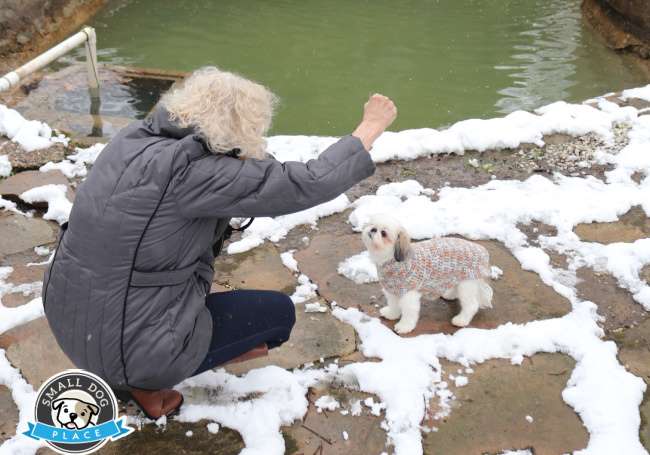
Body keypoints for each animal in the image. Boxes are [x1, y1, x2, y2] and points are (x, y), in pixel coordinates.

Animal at [360, 214, 492, 334]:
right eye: (372, 224)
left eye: (383, 233)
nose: (372, 230)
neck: (391, 259)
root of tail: (483, 251)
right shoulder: (392, 289)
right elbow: (393, 304)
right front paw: (391, 314)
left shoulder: (408, 293)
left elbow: (409, 312)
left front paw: (404, 326)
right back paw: (450, 295)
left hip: (467, 283)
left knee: (471, 305)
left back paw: (461, 320)